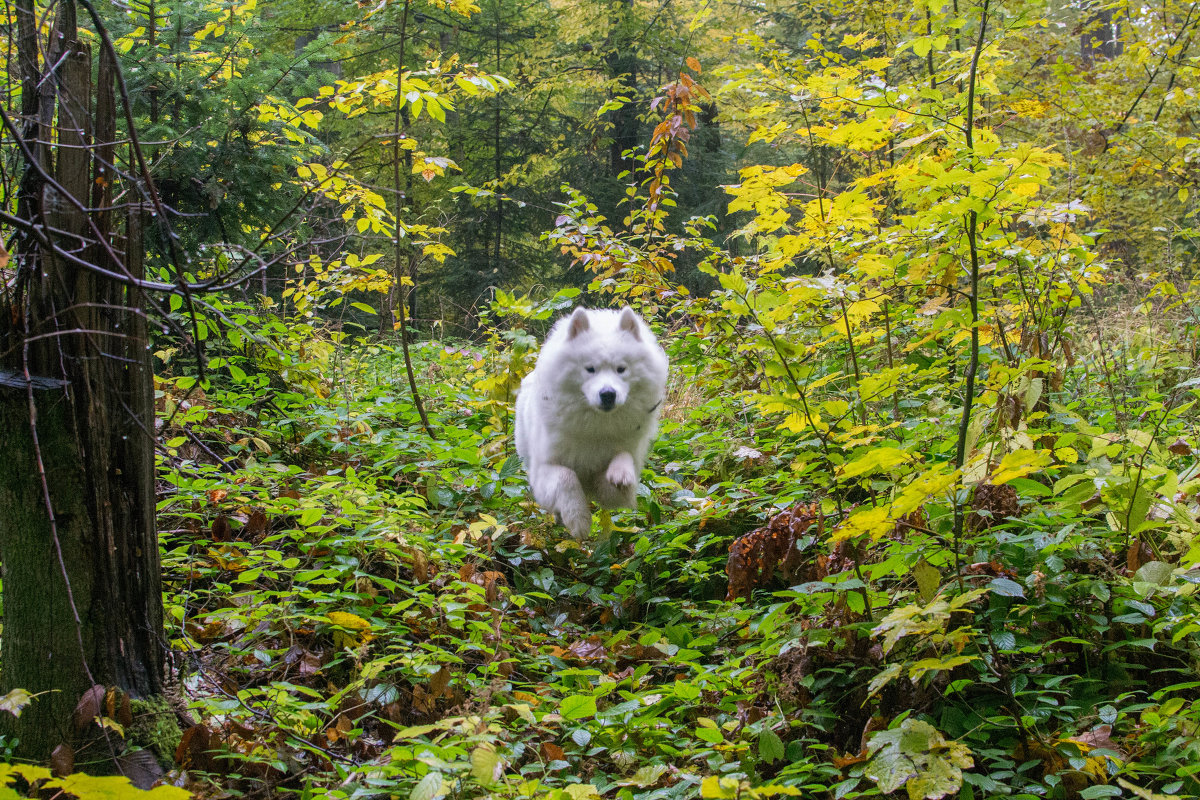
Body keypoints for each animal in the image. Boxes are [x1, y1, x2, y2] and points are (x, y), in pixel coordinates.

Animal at [513, 309, 672, 542]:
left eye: (621, 369)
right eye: (590, 369)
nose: (607, 394)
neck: (597, 426)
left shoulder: (619, 474)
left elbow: (622, 458)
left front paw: (620, 473)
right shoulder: (544, 469)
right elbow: (566, 477)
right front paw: (578, 520)